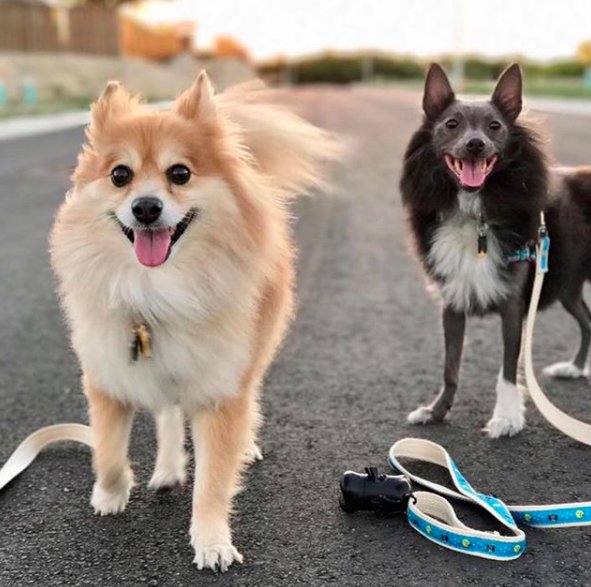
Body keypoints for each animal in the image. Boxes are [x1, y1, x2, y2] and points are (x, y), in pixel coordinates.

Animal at [51, 71, 342, 572]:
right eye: (120, 175)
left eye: (180, 174)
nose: (146, 207)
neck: (156, 292)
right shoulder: (108, 376)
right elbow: (106, 450)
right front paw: (111, 492)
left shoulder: (220, 392)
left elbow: (214, 481)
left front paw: (211, 541)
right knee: (168, 413)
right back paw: (168, 469)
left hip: (250, 356)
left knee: (245, 395)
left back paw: (241, 447)